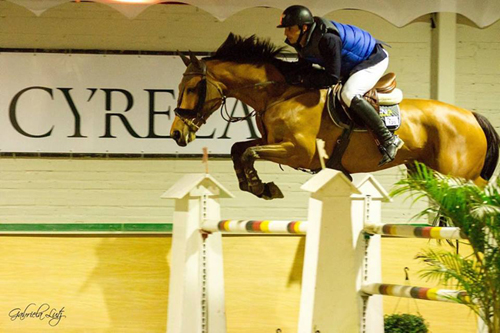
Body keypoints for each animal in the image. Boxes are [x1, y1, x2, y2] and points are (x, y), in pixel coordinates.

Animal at [170, 33, 498, 200]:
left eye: (191, 88)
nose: (176, 133)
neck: (280, 93)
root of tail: (472, 116)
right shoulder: (270, 140)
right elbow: (238, 149)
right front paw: (255, 186)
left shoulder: (298, 152)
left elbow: (249, 152)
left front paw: (259, 186)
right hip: (423, 172)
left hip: (458, 177)